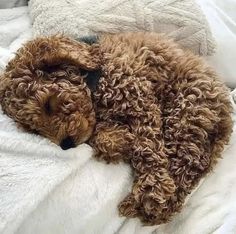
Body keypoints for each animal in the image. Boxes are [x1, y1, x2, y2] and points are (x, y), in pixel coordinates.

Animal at [0, 33, 232, 225]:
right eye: (34, 130)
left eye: (48, 104)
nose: (66, 145)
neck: (95, 78)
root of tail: (225, 108)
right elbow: (103, 136)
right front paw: (120, 141)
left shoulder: (141, 103)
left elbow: (147, 149)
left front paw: (153, 188)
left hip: (185, 110)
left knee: (187, 166)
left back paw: (147, 204)